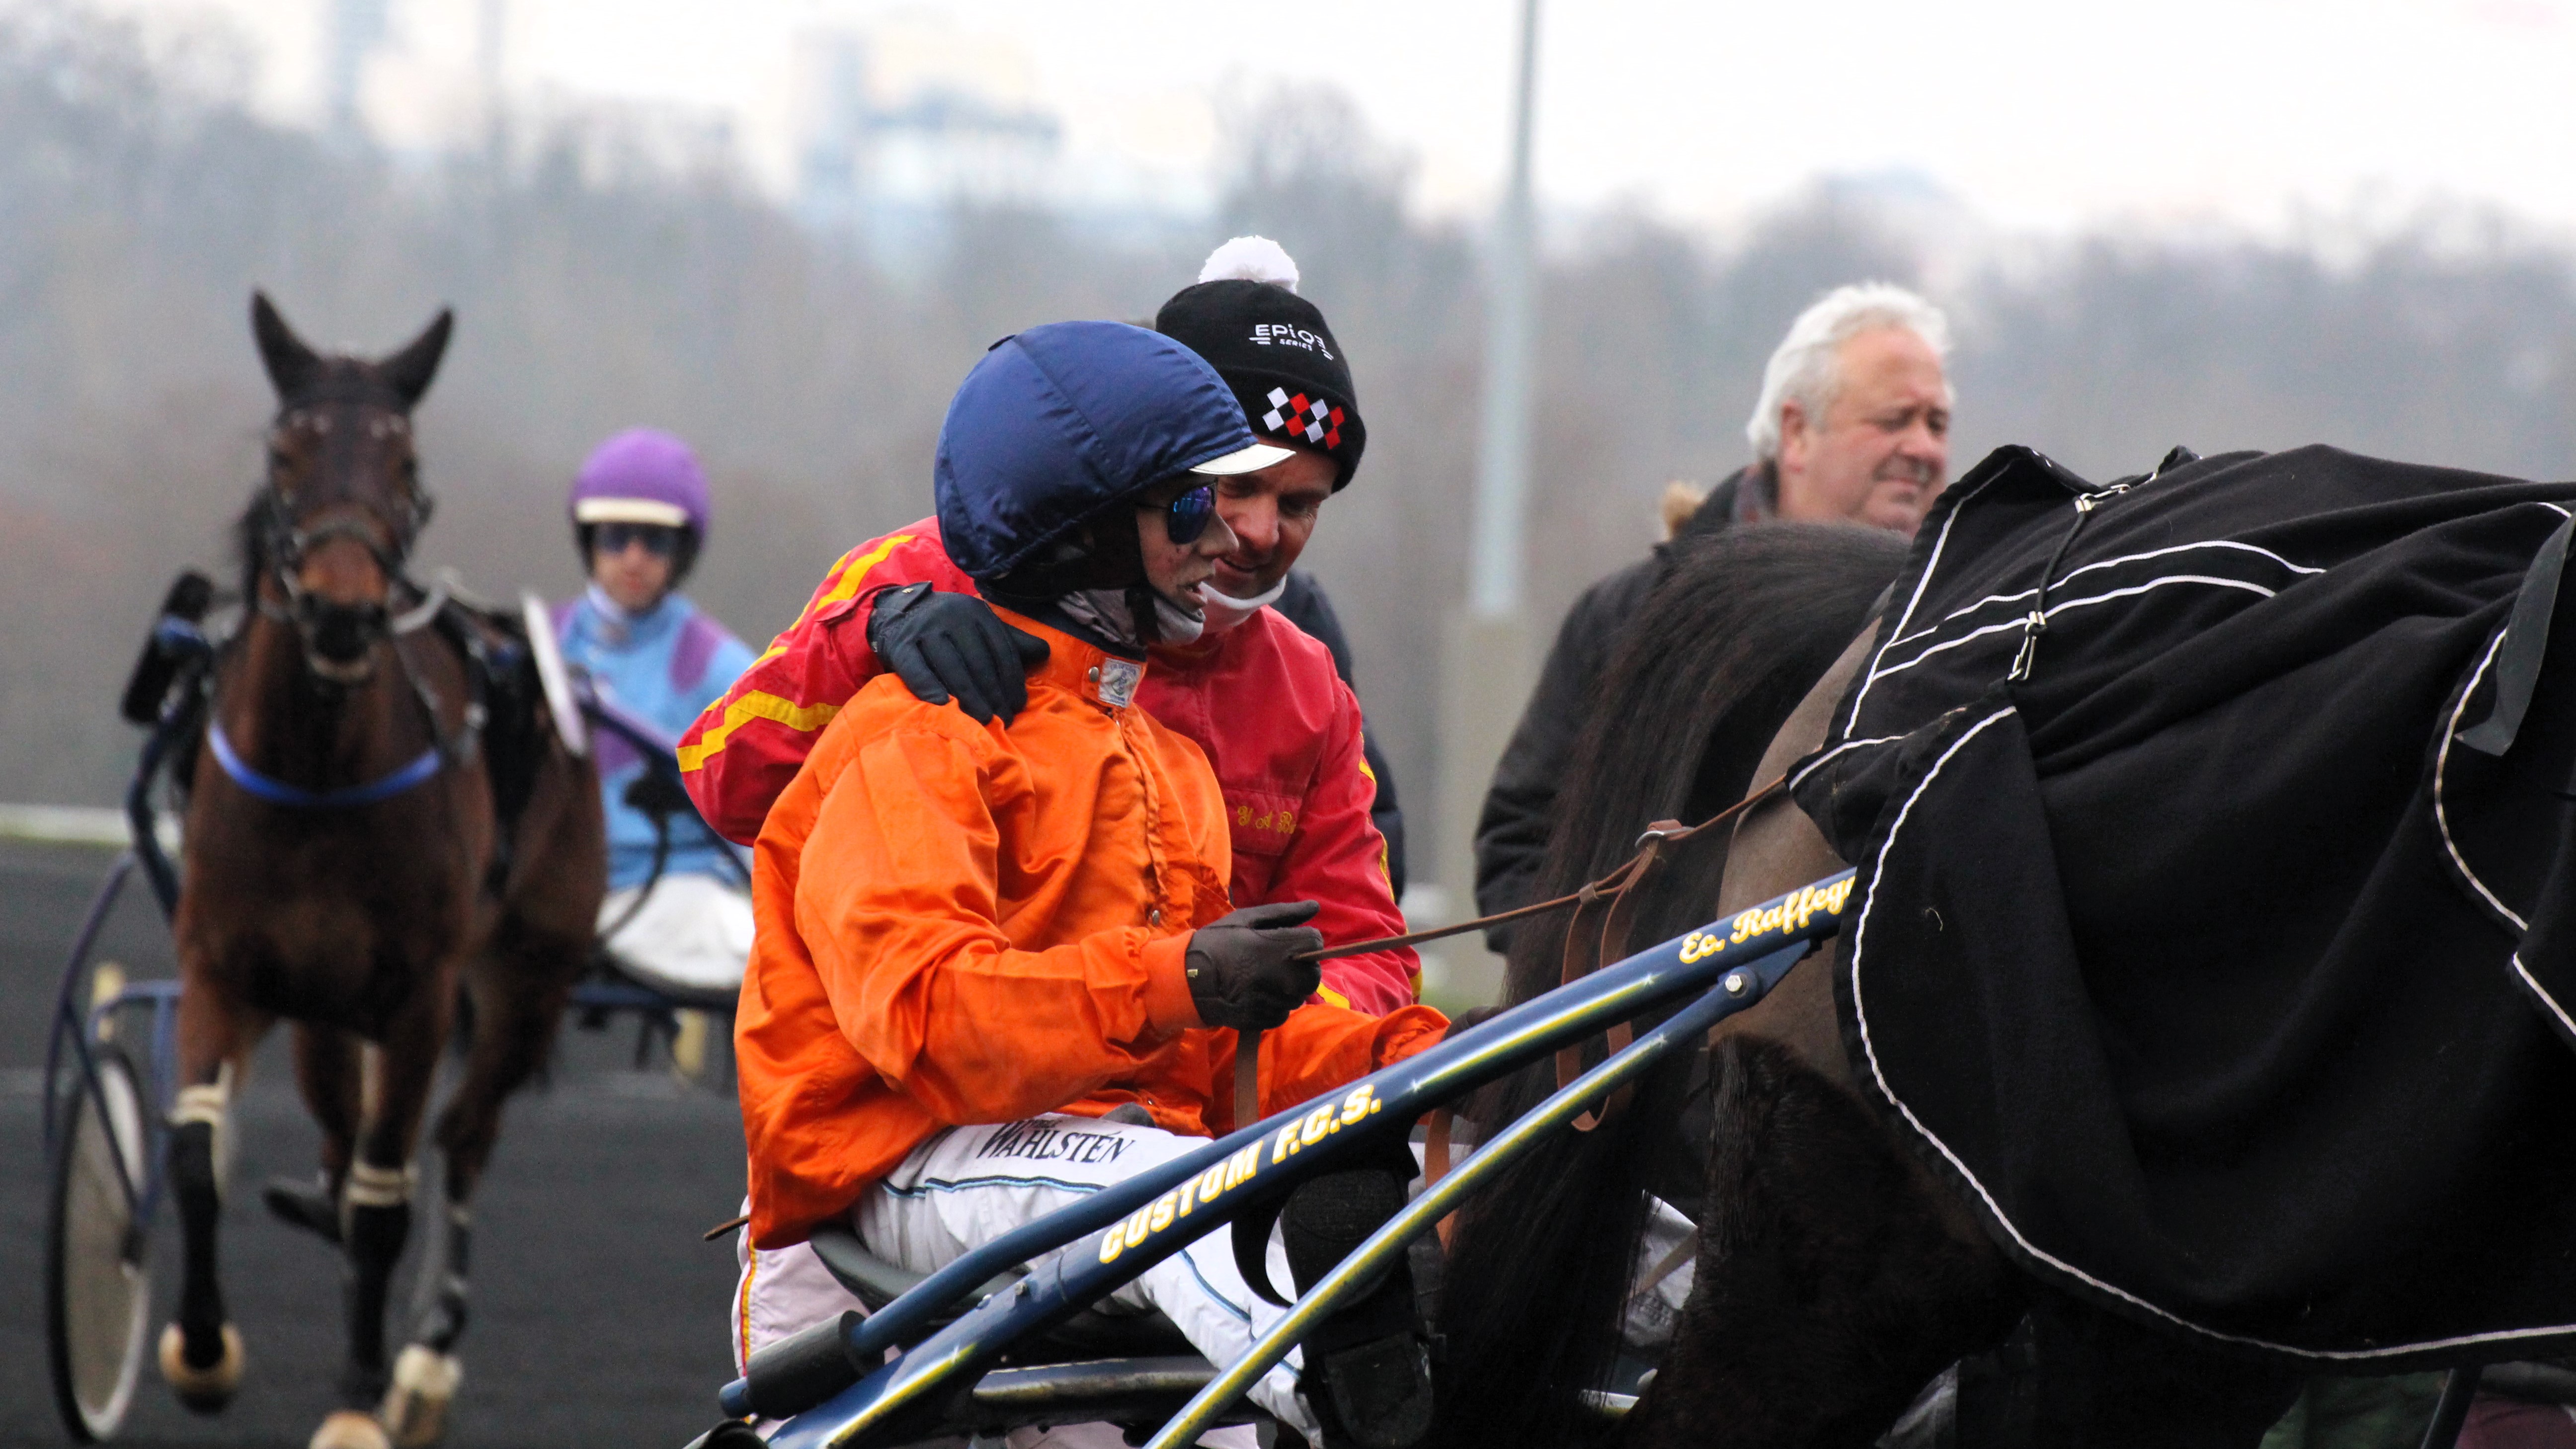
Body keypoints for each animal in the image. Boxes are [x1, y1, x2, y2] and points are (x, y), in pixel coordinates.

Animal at [155, 294, 603, 1444]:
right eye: (285, 453)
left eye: (406, 462)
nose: (343, 608)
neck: (317, 773)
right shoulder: (223, 967)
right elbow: (196, 1155)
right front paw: (203, 1352)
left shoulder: (417, 996)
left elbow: (385, 1198)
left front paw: (357, 1401)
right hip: (321, 1010)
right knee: (339, 1126)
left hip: (524, 976)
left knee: (464, 1137)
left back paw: (425, 1361)